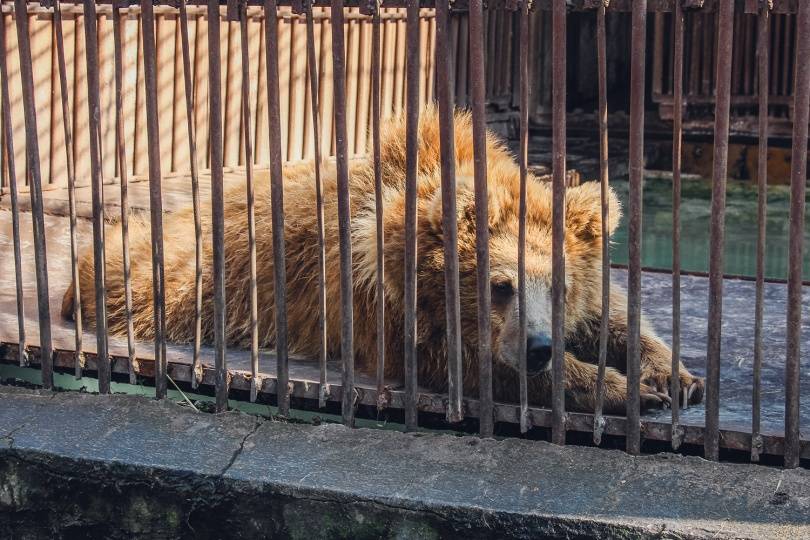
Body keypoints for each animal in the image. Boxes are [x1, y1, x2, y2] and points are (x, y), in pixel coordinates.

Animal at [61, 107, 700, 416]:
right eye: (500, 285)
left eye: (561, 287)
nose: (541, 346)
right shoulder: (389, 310)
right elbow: (473, 366)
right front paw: (624, 389)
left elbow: (614, 316)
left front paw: (672, 376)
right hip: (188, 275)